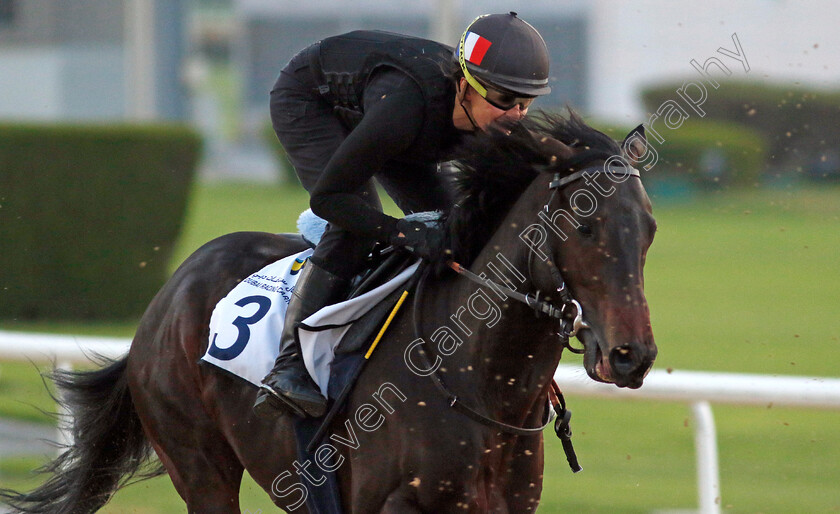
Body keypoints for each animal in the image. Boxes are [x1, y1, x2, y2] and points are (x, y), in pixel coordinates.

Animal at [0, 113, 656, 512]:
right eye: (585, 224)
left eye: (648, 229)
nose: (632, 355)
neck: (478, 385)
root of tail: (169, 293)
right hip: (199, 463)